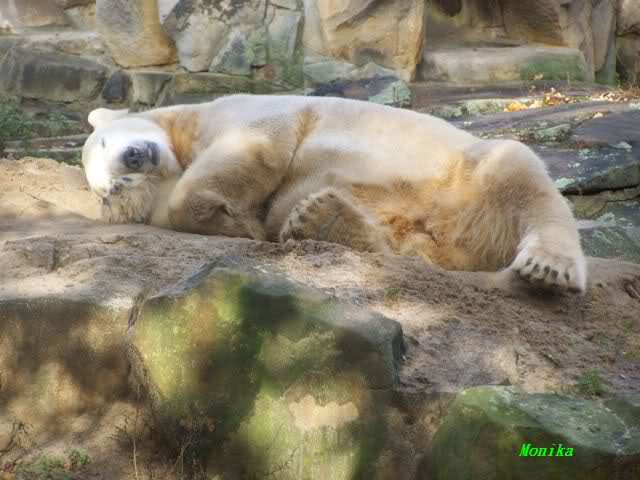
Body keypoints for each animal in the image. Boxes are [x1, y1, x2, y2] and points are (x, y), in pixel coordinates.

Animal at [82, 95, 587, 292]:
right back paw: (325, 220)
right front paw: (240, 222)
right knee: (410, 245)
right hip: (432, 227)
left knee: (519, 173)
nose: (134, 156)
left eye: (106, 142)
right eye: (107, 185)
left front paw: (233, 217)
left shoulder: (243, 112)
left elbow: (259, 144)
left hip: (466, 171)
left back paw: (548, 264)